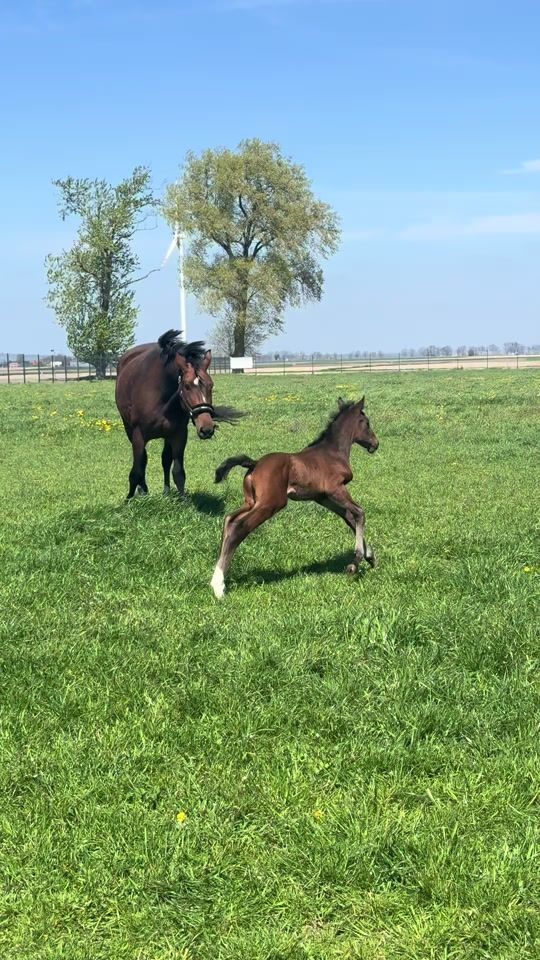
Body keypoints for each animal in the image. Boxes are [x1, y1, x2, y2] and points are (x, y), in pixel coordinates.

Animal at [115, 330, 216, 500]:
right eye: (187, 386)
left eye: (211, 385)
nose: (207, 429)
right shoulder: (138, 435)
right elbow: (136, 470)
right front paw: (129, 499)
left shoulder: (179, 434)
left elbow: (178, 472)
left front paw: (183, 500)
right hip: (129, 428)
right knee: (143, 461)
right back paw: (143, 490)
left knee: (165, 460)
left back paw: (166, 491)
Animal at [210, 395, 379, 598]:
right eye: (367, 423)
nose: (375, 444)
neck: (333, 452)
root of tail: (254, 463)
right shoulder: (335, 489)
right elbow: (359, 513)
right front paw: (355, 563)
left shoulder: (322, 498)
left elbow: (349, 518)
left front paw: (370, 556)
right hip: (271, 503)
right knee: (239, 526)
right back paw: (219, 586)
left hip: (251, 502)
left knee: (229, 520)